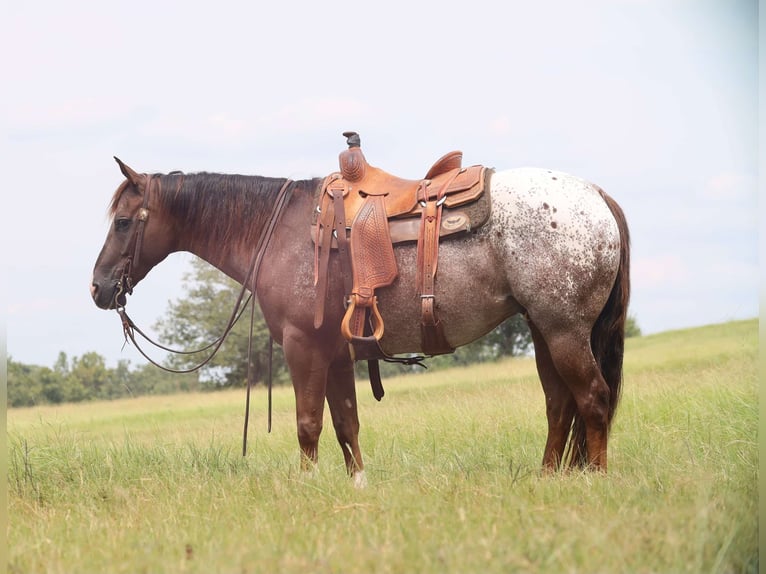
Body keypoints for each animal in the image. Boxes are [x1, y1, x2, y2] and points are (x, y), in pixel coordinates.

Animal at [91, 154, 632, 486]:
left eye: (123, 222)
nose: (98, 288)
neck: (281, 230)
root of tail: (597, 196)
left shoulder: (303, 346)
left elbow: (308, 424)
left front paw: (306, 487)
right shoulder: (335, 354)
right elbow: (345, 423)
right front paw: (358, 487)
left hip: (564, 331)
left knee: (593, 398)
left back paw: (597, 481)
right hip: (544, 330)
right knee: (559, 404)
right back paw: (547, 479)